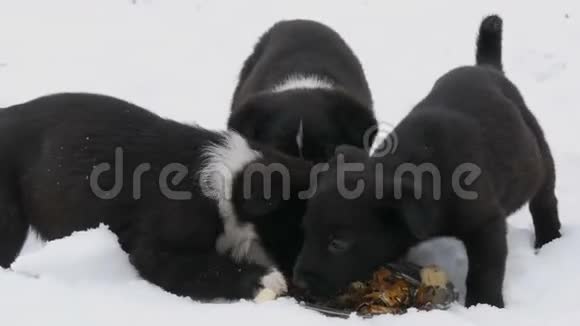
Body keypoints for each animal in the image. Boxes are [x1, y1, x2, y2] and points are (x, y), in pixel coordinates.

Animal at [0, 93, 312, 302]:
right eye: (297, 228)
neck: (231, 187)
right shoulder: (156, 250)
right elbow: (205, 268)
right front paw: (266, 280)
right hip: (9, 219)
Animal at [294, 15, 560, 308]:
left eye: (338, 243)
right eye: (305, 230)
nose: (299, 282)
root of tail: (488, 68)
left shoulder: (485, 221)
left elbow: (485, 270)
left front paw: (485, 304)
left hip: (541, 157)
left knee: (545, 200)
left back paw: (550, 239)